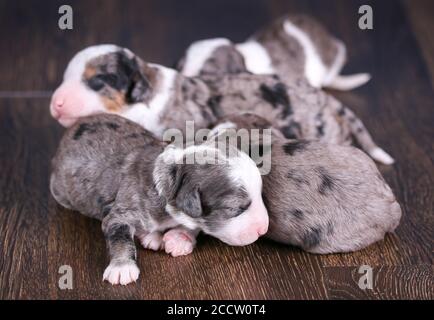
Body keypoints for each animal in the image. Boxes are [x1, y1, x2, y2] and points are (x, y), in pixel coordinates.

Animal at [50, 114, 268, 284]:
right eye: (235, 209)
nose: (263, 229)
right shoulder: (121, 212)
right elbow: (119, 236)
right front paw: (122, 267)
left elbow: (192, 224)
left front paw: (180, 238)